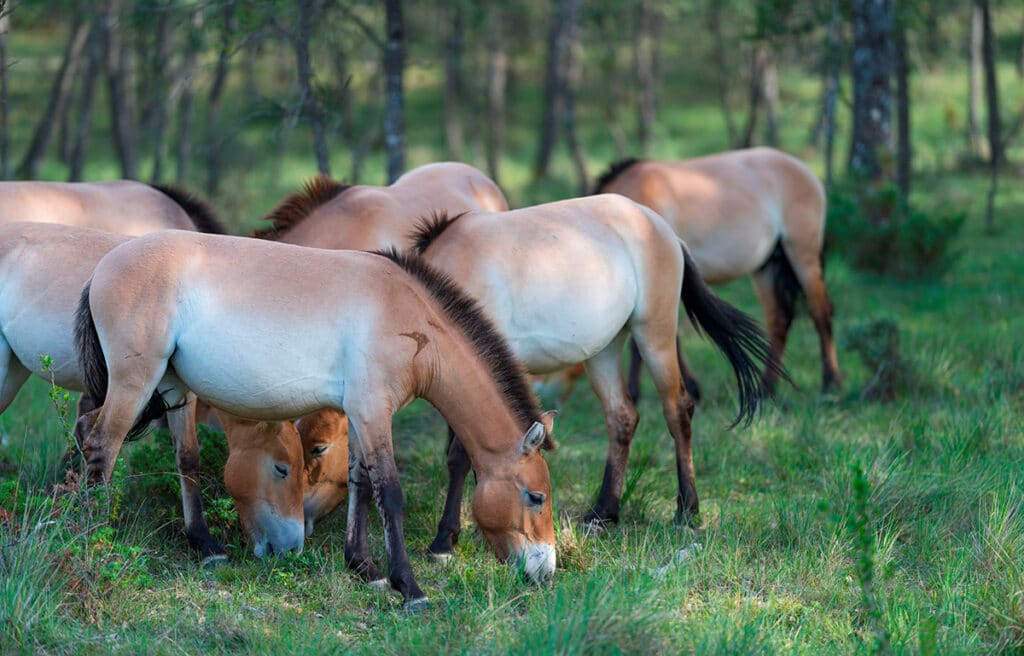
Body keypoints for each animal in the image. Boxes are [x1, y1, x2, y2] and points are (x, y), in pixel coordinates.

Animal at [70, 231, 561, 609]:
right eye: (536, 496)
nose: (546, 571)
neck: (406, 313)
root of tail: (103, 267)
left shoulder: (361, 415)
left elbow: (360, 484)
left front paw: (363, 567)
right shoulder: (373, 411)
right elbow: (390, 493)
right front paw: (409, 588)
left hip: (170, 388)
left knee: (164, 452)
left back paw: (203, 545)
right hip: (136, 383)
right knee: (102, 446)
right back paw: (91, 543)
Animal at [403, 196, 778, 556]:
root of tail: (662, 228)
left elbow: (460, 455)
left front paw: (444, 540)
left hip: (653, 335)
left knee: (677, 410)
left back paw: (686, 510)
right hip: (603, 351)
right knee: (622, 417)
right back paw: (603, 514)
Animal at [577, 148, 839, 399]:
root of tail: (806, 172)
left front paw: (640, 391)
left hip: (803, 256)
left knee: (820, 313)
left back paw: (830, 385)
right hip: (766, 266)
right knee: (779, 319)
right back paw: (767, 388)